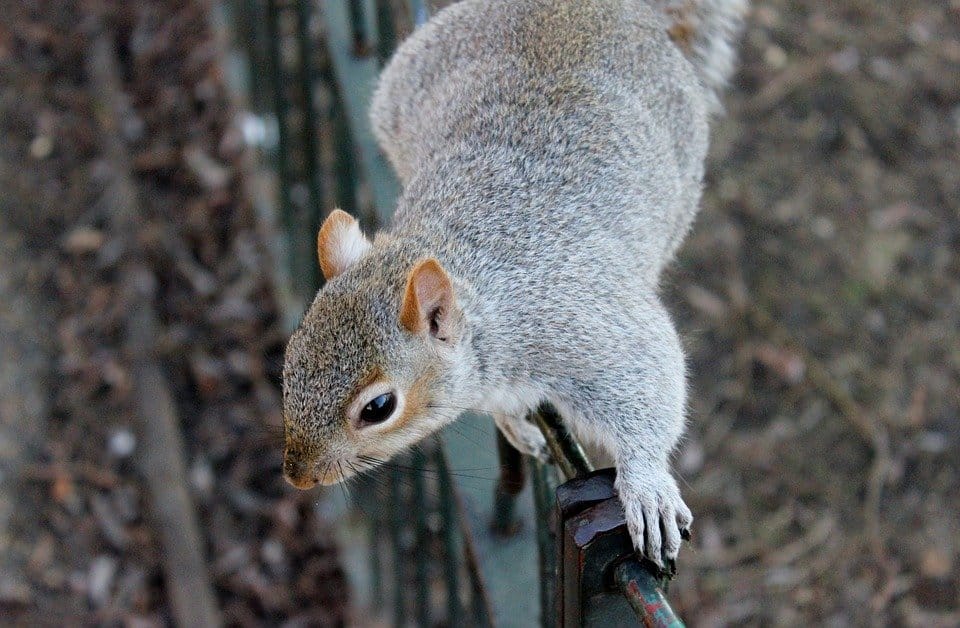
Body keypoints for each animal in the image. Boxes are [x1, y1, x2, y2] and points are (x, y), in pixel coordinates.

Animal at [282, 0, 746, 569]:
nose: (299, 476)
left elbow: (645, 380)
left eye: (378, 408)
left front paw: (647, 484)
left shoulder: (583, 320)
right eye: (291, 356)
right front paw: (515, 426)